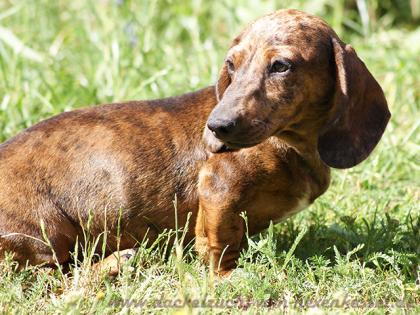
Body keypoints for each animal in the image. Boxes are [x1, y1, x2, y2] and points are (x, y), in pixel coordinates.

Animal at [0, 9, 390, 276]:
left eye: (281, 65)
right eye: (231, 64)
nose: (216, 127)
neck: (292, 142)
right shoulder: (218, 186)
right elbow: (217, 242)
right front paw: (226, 276)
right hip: (44, 233)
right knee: (57, 280)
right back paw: (116, 263)